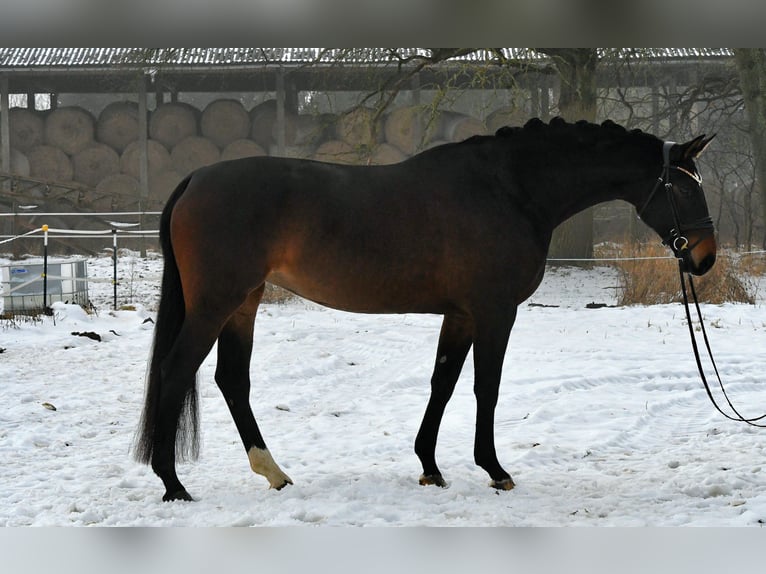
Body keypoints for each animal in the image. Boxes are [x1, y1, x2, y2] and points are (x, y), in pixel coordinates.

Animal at [134, 117, 717, 501]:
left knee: (232, 378)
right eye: (684, 190)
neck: (512, 188)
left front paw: (430, 466)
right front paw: (494, 469)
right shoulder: (494, 311)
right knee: (176, 370)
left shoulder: (460, 315)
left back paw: (271, 471)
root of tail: (194, 180)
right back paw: (173, 483)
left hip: (244, 302)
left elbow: (444, 382)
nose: (705, 259)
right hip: (217, 303)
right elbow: (486, 387)